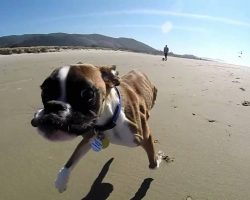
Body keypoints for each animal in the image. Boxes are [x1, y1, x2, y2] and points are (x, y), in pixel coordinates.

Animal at [30, 64, 164, 192]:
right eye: (44, 89)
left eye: (87, 94)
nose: (53, 105)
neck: (110, 119)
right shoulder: (90, 135)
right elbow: (73, 157)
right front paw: (61, 180)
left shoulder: (144, 137)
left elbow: (152, 163)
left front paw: (159, 158)